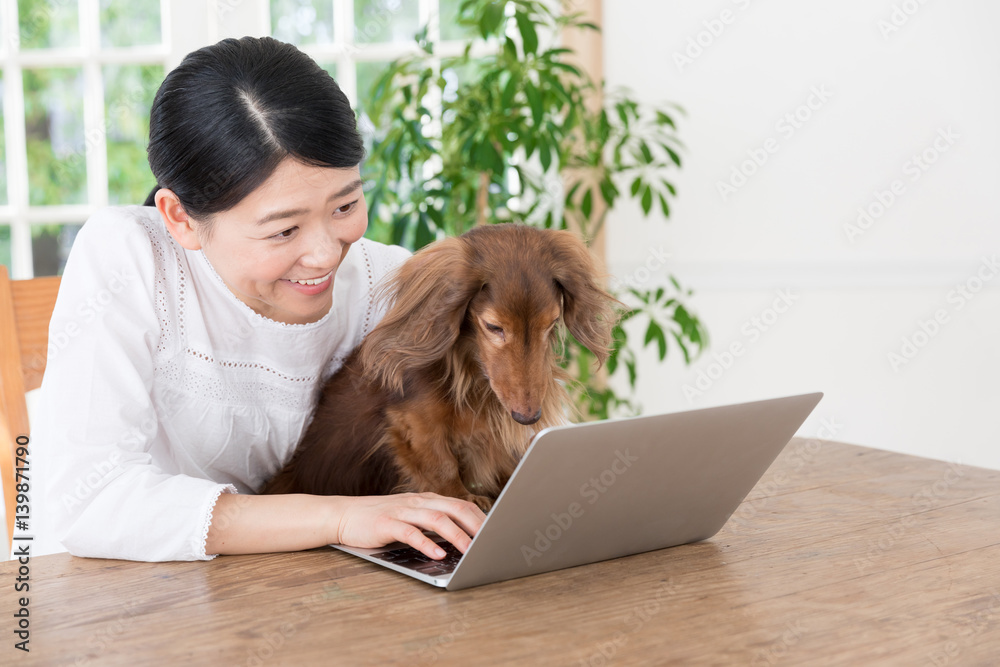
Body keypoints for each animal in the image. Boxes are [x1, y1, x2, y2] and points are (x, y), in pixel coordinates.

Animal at [262, 222, 616, 508]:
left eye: (551, 324)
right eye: (494, 327)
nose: (527, 417)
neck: (471, 371)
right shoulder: (411, 423)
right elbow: (440, 465)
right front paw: (465, 500)